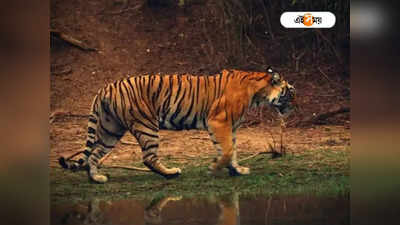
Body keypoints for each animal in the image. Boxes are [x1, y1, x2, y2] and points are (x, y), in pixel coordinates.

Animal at [60, 66, 296, 183]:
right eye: (290, 92)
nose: (296, 106)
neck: (258, 93)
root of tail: (106, 87)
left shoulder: (230, 127)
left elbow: (232, 150)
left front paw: (236, 169)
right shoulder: (218, 121)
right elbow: (228, 150)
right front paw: (214, 168)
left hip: (111, 128)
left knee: (94, 154)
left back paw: (97, 178)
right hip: (146, 125)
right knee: (148, 157)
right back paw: (171, 173)